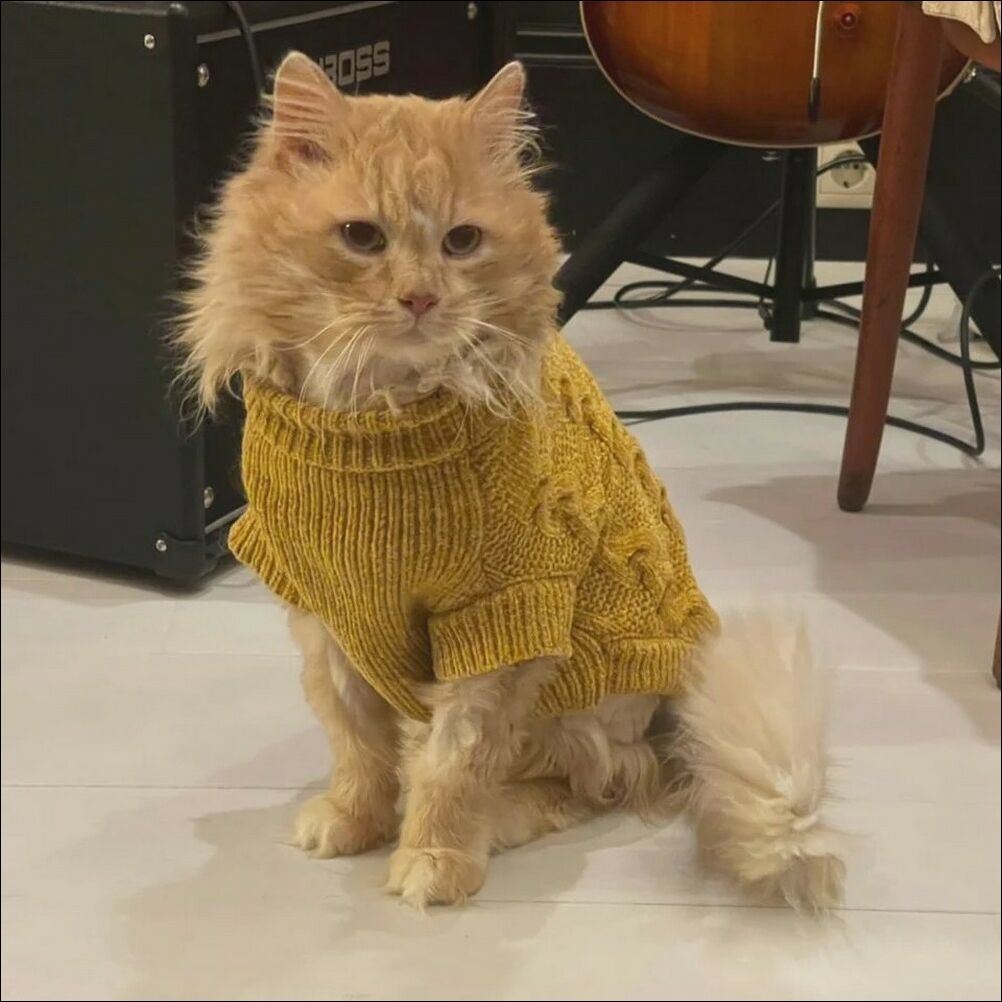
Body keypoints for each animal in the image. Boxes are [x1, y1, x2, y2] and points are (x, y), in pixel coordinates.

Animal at [175, 52, 845, 912]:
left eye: (462, 241)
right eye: (362, 237)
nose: (420, 296)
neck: (378, 416)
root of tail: (679, 719)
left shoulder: (501, 619)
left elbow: (454, 764)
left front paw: (433, 854)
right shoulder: (328, 613)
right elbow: (355, 741)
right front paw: (355, 820)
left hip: (580, 712)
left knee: (594, 783)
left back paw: (497, 819)